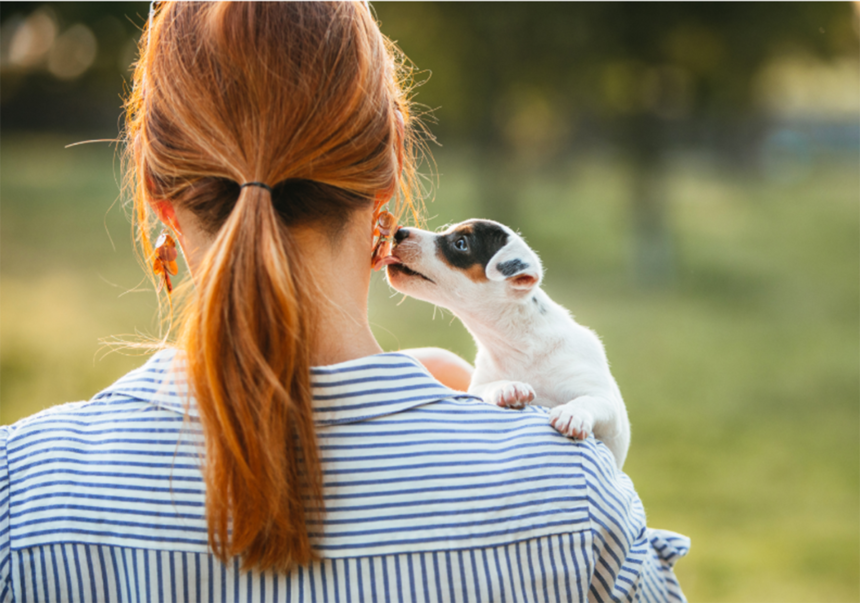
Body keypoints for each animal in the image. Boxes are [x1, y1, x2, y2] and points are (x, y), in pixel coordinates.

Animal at [382, 219, 632, 470]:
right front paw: (508, 388)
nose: (399, 232)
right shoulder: (478, 387)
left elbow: (588, 400)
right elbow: (489, 387)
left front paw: (572, 414)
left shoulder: (609, 407)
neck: (520, 346)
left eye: (461, 243)